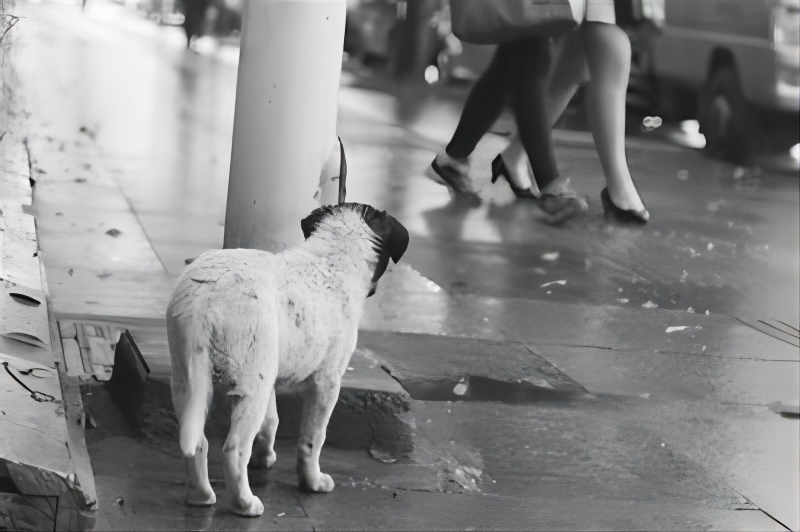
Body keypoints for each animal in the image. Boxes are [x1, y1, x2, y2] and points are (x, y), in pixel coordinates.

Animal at [166, 203, 410, 516]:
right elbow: (313, 439)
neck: (331, 258)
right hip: (250, 387)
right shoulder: (327, 382)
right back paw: (245, 504)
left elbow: (271, 421)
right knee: (234, 449)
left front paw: (265, 457)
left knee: (198, 441)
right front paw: (313, 481)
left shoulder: (270, 371)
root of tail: (204, 300)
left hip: (188, 377)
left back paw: (202, 496)